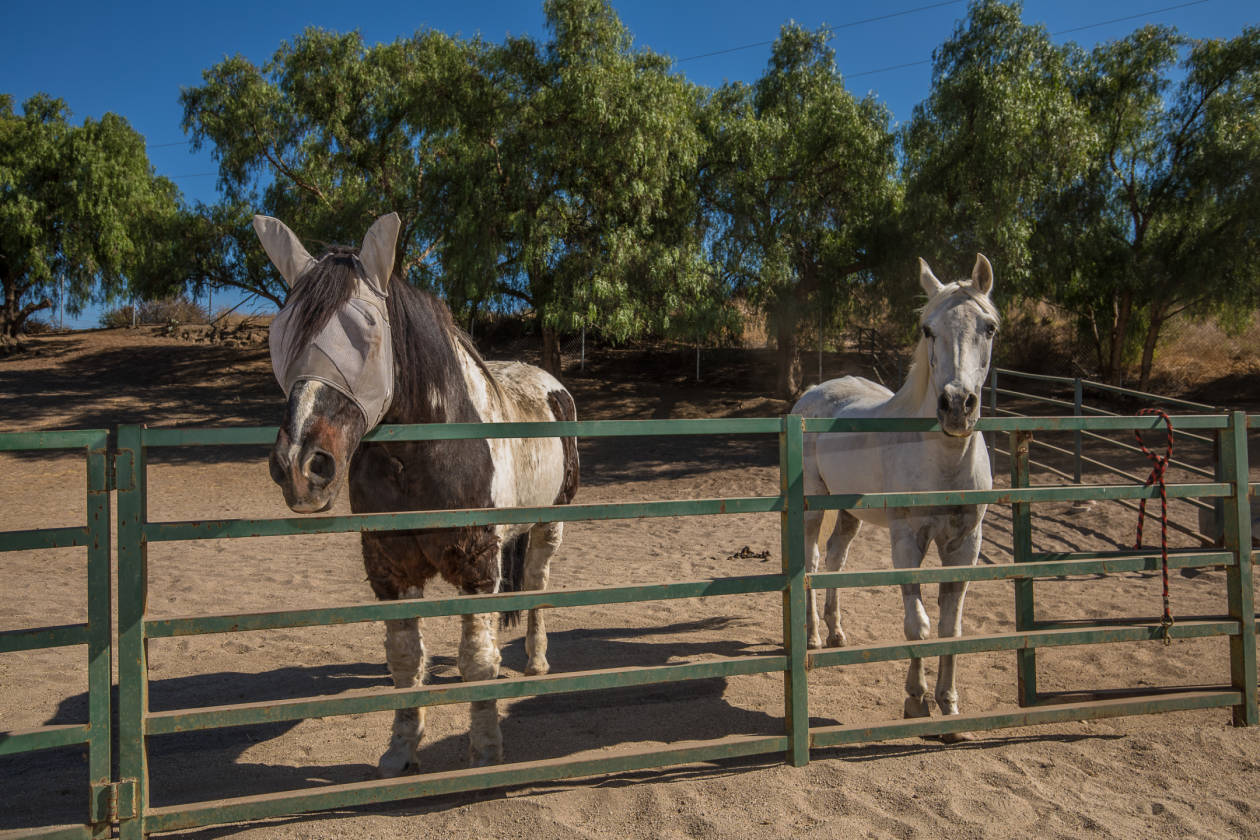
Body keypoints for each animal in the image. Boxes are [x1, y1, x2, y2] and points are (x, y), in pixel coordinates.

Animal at [254, 212, 579, 774]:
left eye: (367, 331)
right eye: (280, 334)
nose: (300, 466)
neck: (423, 456)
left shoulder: (477, 566)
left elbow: (477, 661)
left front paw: (485, 751)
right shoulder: (391, 569)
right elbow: (405, 660)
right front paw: (402, 750)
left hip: (548, 525)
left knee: (536, 585)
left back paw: (537, 661)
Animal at [792, 254, 998, 739]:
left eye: (990, 327)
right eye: (927, 329)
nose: (957, 406)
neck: (944, 460)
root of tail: (813, 391)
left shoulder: (965, 544)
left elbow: (951, 628)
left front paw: (950, 709)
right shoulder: (907, 540)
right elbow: (917, 626)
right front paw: (916, 702)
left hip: (848, 509)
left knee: (836, 557)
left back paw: (836, 633)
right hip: (813, 505)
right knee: (813, 561)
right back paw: (813, 636)